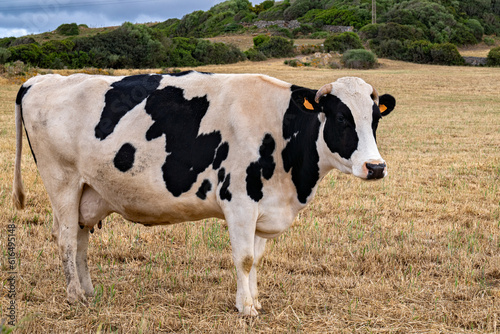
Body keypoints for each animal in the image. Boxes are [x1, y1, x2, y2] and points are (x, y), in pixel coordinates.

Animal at [11, 70, 396, 316]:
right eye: (342, 119)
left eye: (375, 119)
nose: (376, 167)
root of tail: (40, 79)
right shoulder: (239, 202)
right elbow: (244, 258)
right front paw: (246, 309)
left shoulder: (264, 205)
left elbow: (256, 258)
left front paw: (253, 300)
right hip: (62, 181)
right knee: (64, 239)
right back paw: (75, 296)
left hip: (88, 191)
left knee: (79, 239)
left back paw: (89, 292)